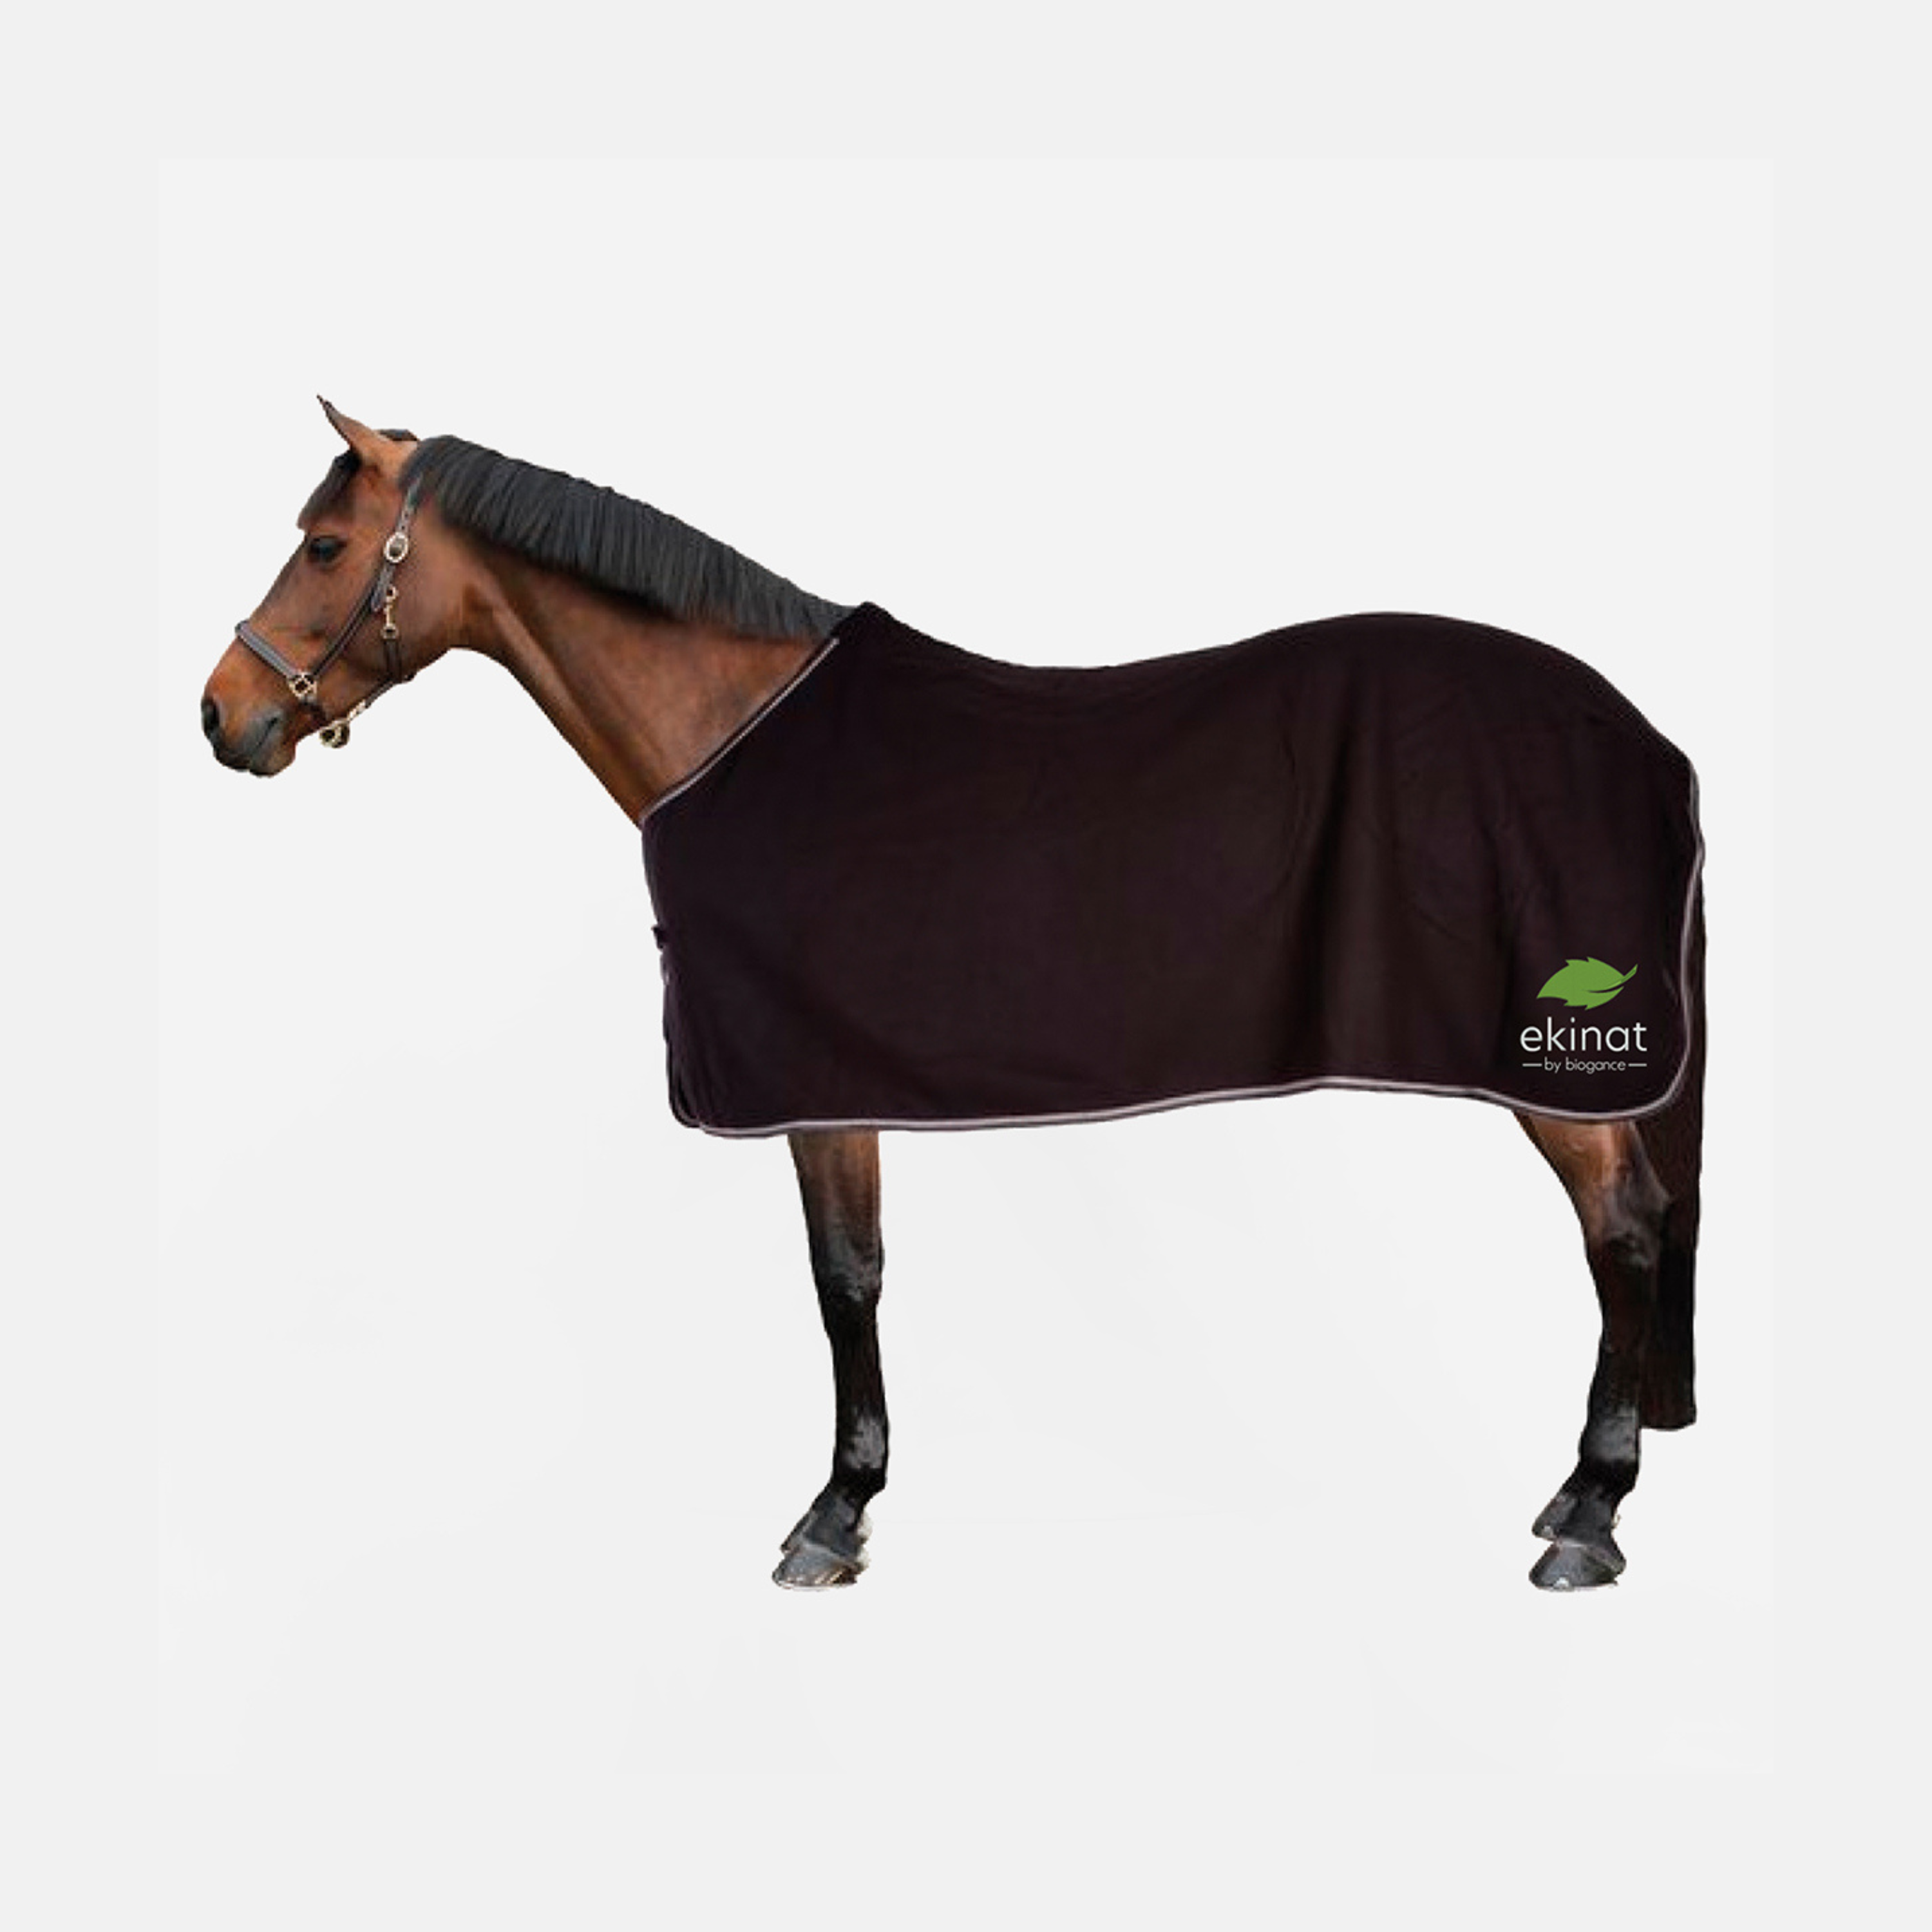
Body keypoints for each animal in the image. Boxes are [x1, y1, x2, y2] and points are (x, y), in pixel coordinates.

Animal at [200, 399, 1706, 1594]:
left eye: (325, 547)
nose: (222, 716)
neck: (740, 735)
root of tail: (1634, 733)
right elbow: (854, 1274)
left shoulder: (816, 1080)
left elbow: (844, 1280)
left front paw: (834, 1514)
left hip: (1553, 1066)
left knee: (1624, 1229)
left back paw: (1591, 1515)